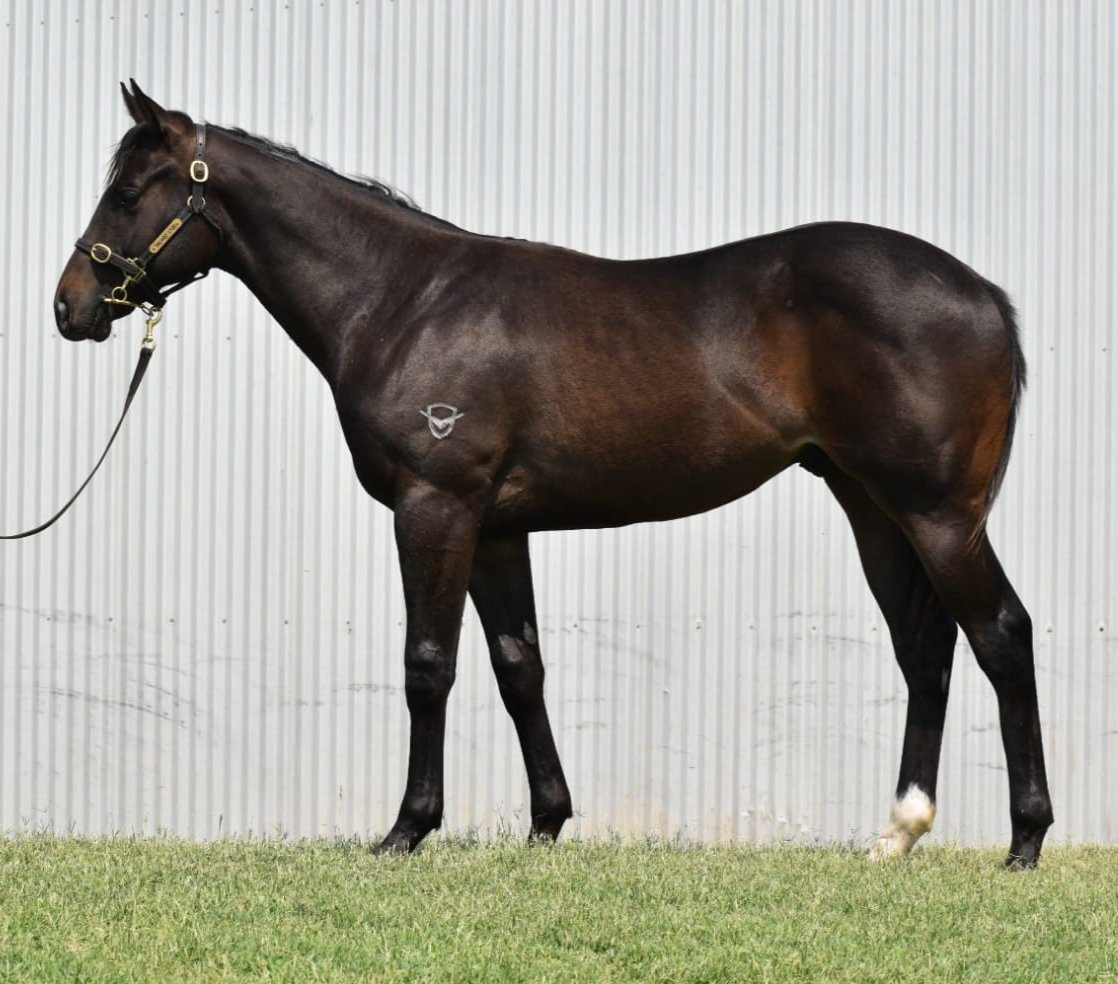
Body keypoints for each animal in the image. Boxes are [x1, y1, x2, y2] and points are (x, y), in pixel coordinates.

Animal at [53, 81, 1052, 867]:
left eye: (129, 191)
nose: (69, 306)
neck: (403, 299)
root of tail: (987, 297)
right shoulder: (497, 528)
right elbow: (518, 667)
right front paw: (546, 825)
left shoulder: (435, 510)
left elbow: (428, 666)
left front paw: (407, 830)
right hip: (873, 507)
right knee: (925, 647)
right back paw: (898, 832)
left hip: (939, 514)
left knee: (1001, 634)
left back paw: (1026, 840)